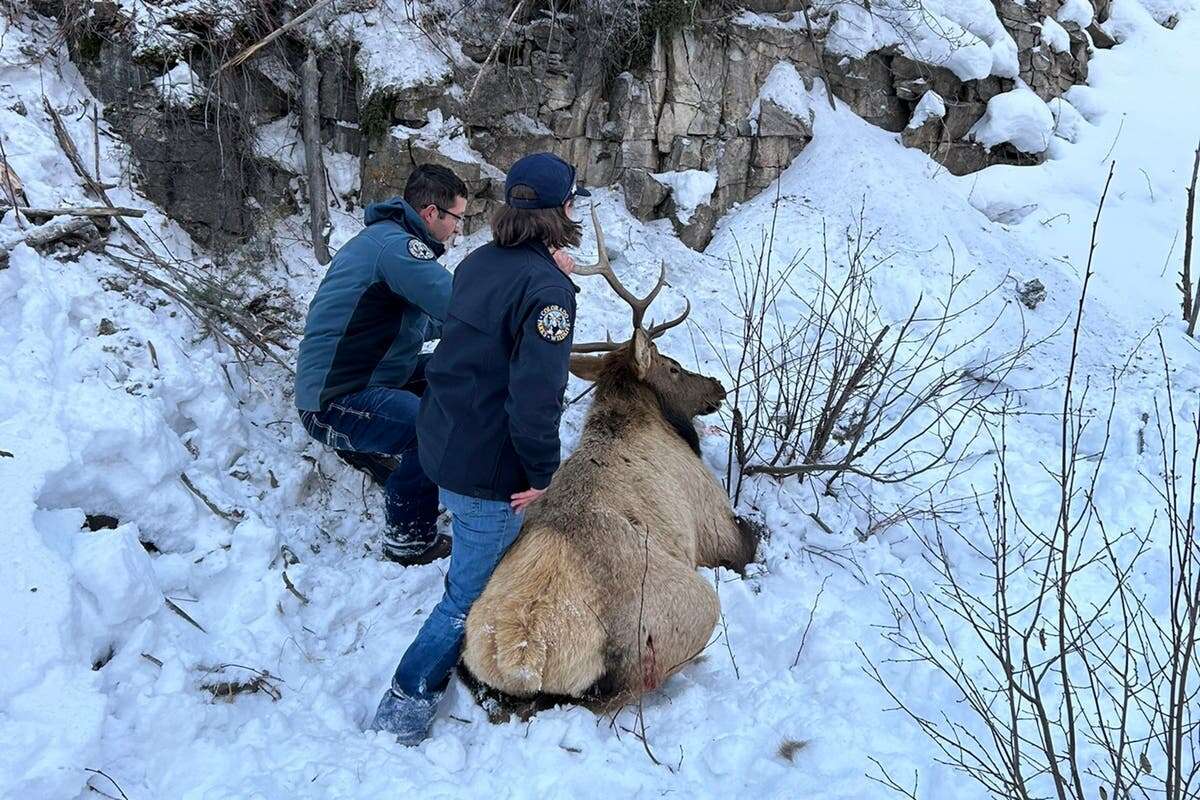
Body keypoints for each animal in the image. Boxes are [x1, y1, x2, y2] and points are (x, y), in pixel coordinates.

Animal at [460, 209, 758, 710]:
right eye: (673, 366)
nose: (717, 386)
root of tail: (524, 658)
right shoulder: (714, 519)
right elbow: (751, 538)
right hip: (691, 610)